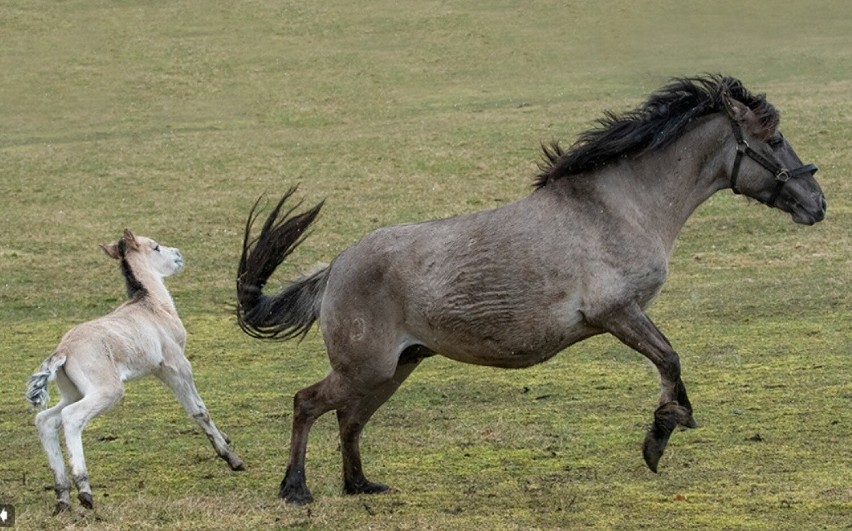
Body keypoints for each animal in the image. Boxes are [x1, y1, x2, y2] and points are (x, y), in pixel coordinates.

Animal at [25, 231, 243, 512]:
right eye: (156, 247)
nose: (178, 254)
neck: (153, 306)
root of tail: (62, 350)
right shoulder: (177, 365)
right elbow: (198, 410)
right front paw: (231, 458)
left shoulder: (159, 370)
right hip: (107, 391)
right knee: (71, 417)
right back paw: (84, 491)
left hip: (72, 393)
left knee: (46, 420)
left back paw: (62, 497)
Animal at [235, 74, 824, 502]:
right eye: (773, 141)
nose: (818, 203)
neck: (620, 207)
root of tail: (334, 269)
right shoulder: (618, 312)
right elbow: (670, 359)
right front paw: (660, 436)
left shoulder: (624, 315)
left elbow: (671, 362)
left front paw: (670, 426)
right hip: (366, 369)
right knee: (308, 404)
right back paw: (295, 490)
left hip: (394, 368)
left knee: (349, 420)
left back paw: (360, 486)